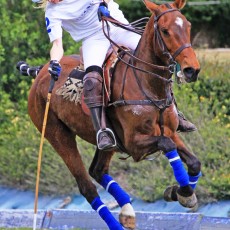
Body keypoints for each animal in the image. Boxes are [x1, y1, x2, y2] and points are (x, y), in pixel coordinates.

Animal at [16, 0, 201, 229]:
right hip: (57, 135)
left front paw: (182, 193)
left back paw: (128, 211)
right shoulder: (134, 143)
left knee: (97, 169)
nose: (192, 70)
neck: (149, 85)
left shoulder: (169, 131)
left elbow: (193, 162)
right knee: (87, 186)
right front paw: (180, 191)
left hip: (109, 141)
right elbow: (167, 145)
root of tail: (40, 72)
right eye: (165, 31)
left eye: (188, 25)